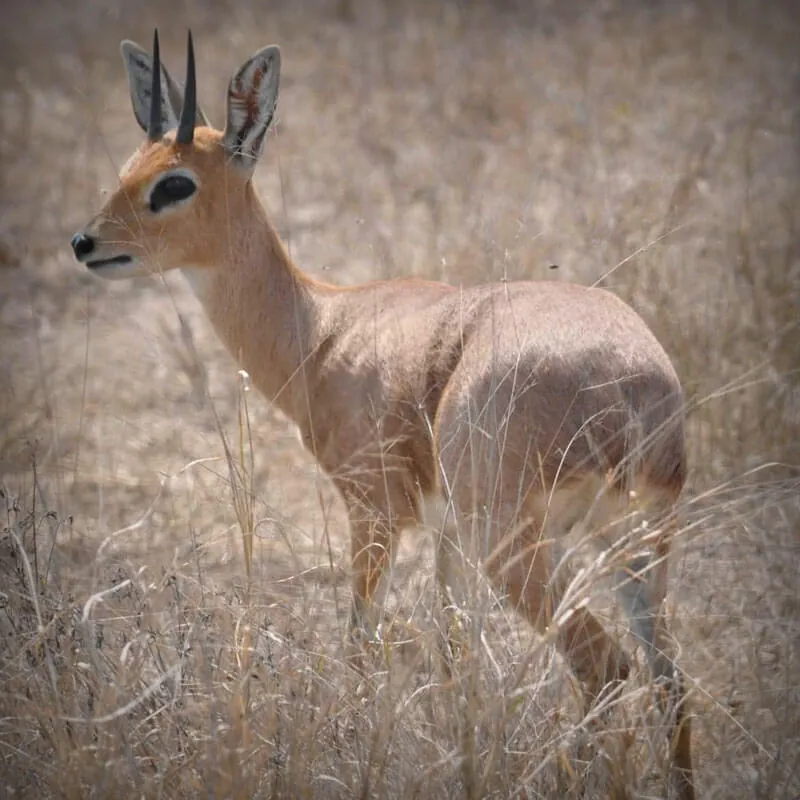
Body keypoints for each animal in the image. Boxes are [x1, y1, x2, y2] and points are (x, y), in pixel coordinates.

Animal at [72, 29, 696, 792]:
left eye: (175, 184)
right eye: (132, 167)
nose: (86, 243)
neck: (324, 327)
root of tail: (633, 387)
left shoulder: (373, 514)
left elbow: (360, 642)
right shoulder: (445, 537)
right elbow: (453, 655)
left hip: (520, 546)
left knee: (605, 668)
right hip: (634, 545)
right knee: (670, 680)